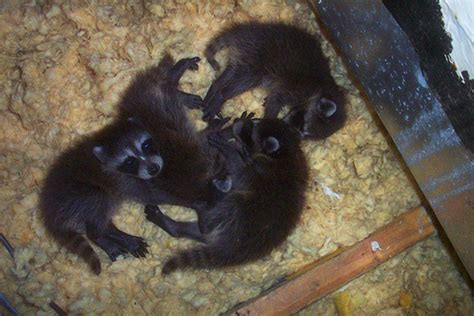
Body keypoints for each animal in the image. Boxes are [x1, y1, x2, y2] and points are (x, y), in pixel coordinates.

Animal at [39, 54, 205, 274]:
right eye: (129, 161)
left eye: (146, 145)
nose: (153, 168)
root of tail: (49, 207)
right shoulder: (133, 182)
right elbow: (157, 195)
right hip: (81, 194)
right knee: (96, 211)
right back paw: (107, 238)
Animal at [146, 114, 310, 274]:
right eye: (257, 121)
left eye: (251, 131)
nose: (238, 122)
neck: (285, 153)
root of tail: (240, 248)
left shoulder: (262, 170)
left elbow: (240, 172)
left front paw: (228, 147)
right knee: (204, 234)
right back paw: (176, 227)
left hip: (244, 213)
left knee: (224, 210)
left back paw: (203, 214)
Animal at [202, 21, 346, 140]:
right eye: (302, 124)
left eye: (308, 136)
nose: (295, 137)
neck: (323, 87)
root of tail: (243, 34)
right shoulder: (295, 86)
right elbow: (276, 99)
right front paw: (268, 121)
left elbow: (273, 96)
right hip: (256, 61)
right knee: (239, 84)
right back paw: (221, 96)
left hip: (245, 59)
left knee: (229, 74)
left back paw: (215, 88)